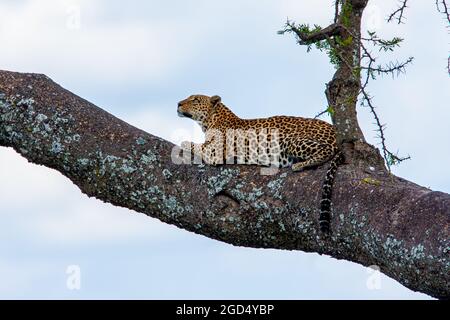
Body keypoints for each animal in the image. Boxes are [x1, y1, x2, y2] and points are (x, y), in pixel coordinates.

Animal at [178, 93, 342, 232]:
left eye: (195, 100)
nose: (178, 104)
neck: (209, 122)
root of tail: (335, 132)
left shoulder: (215, 152)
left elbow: (195, 145)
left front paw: (184, 142)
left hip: (289, 140)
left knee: (326, 150)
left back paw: (300, 165)